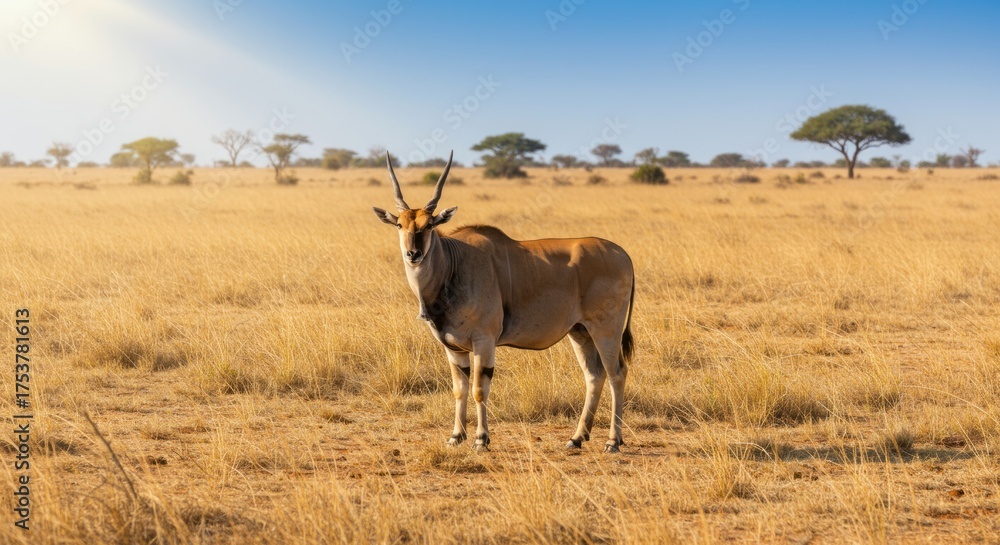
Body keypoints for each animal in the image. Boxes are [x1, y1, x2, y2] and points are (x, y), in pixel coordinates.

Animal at [371, 151, 635, 452]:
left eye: (429, 226)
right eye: (400, 224)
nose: (413, 254)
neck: (454, 263)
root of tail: (623, 254)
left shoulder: (483, 341)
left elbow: (478, 389)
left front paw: (481, 439)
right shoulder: (454, 348)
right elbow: (459, 389)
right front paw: (456, 436)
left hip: (606, 330)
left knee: (617, 373)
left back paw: (613, 441)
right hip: (580, 332)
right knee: (594, 375)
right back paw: (577, 437)